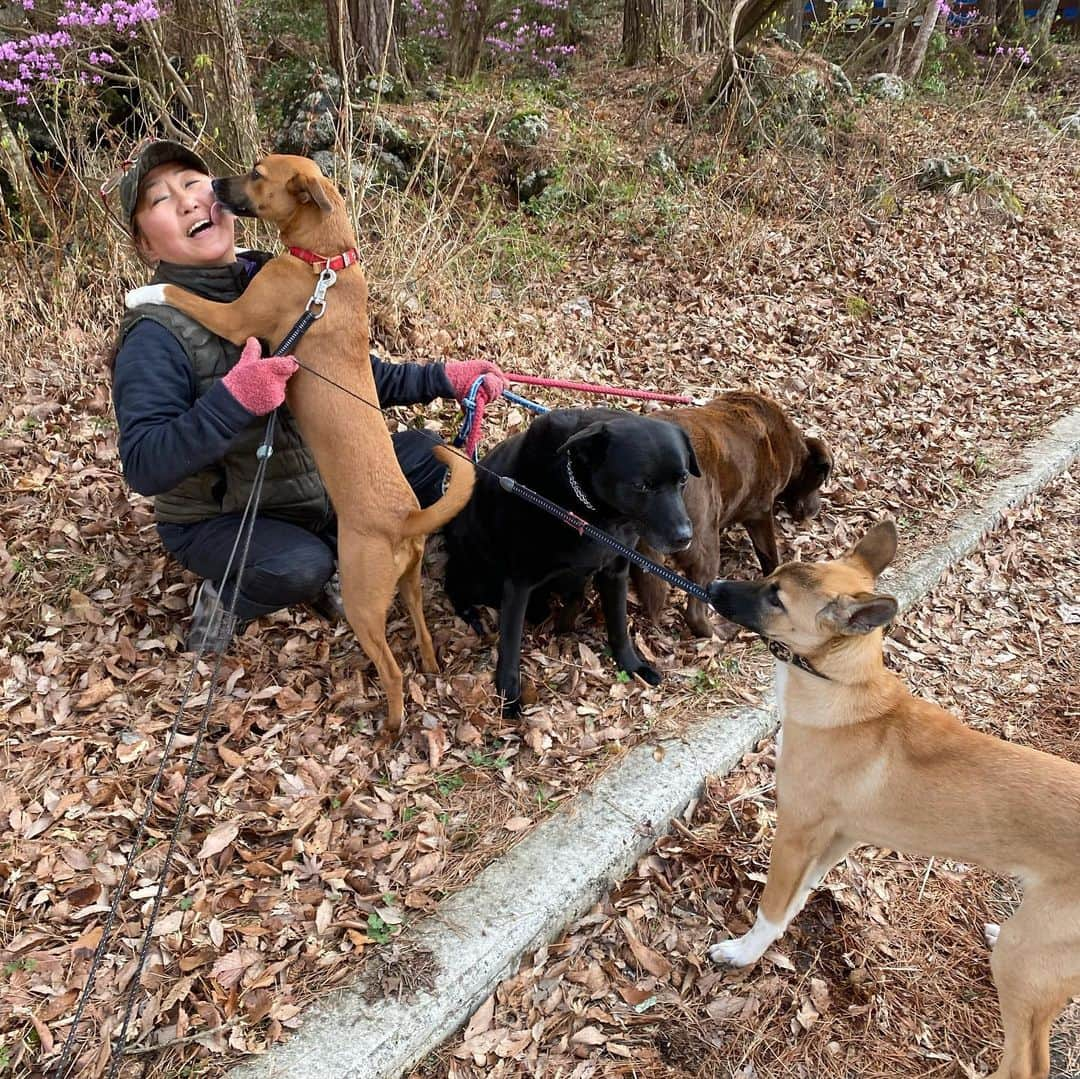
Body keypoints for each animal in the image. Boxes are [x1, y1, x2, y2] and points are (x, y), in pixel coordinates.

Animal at [126, 154, 473, 743]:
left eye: (257, 172)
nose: (211, 186)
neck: (325, 262)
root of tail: (404, 518)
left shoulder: (235, 318)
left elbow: (179, 294)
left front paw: (137, 296)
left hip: (363, 602)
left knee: (393, 670)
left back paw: (392, 724)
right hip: (408, 585)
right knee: (423, 636)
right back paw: (428, 666)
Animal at [440, 408, 699, 712]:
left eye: (683, 480)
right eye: (641, 486)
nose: (684, 537)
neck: (591, 515)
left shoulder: (615, 572)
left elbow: (619, 625)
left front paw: (632, 664)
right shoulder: (519, 584)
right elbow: (510, 645)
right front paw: (509, 697)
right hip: (473, 566)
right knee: (454, 586)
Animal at [635, 393, 829, 635]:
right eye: (820, 482)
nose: (816, 510)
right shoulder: (759, 512)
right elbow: (769, 555)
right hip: (703, 539)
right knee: (695, 609)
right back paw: (714, 631)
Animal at [708, 518, 1080, 1075]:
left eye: (775, 597)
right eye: (770, 576)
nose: (711, 587)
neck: (844, 687)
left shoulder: (795, 833)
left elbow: (771, 907)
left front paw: (742, 954)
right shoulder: (835, 838)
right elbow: (797, 899)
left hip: (1024, 962)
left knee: (1026, 1064)